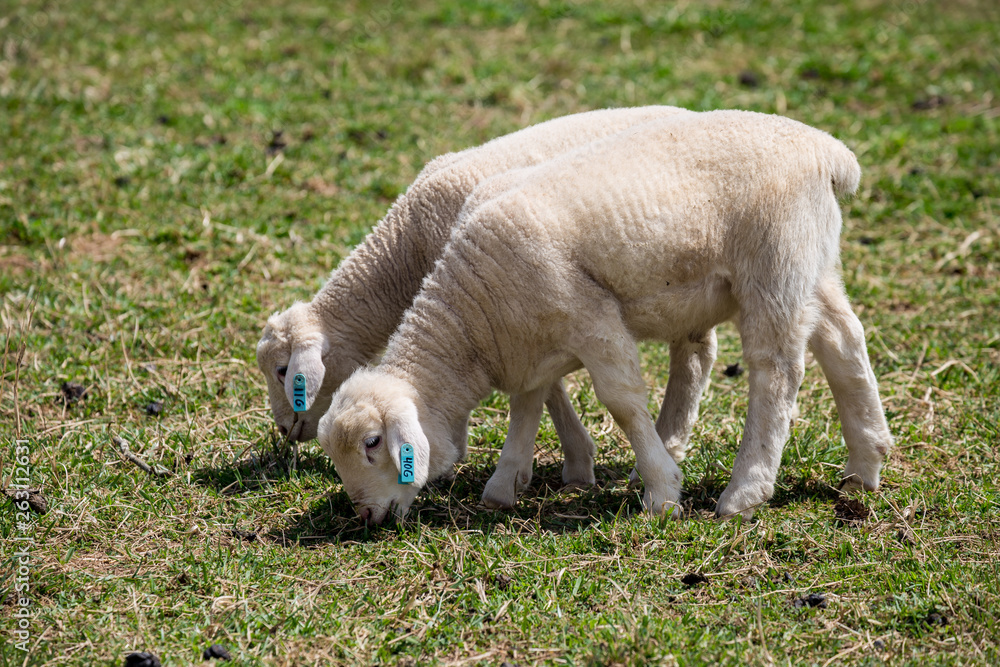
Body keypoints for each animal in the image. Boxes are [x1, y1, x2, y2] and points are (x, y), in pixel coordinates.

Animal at [254, 105, 700, 490]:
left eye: (283, 371)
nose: (284, 430)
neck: (406, 248)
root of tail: (683, 111)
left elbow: (548, 385)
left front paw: (571, 462)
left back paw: (667, 447)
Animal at [318, 109, 892, 524]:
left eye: (373, 444)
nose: (365, 516)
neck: (471, 317)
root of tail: (829, 151)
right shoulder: (528, 338)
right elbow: (526, 407)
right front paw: (504, 486)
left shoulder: (590, 318)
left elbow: (622, 402)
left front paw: (662, 491)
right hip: (812, 263)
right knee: (843, 339)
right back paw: (865, 464)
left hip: (773, 264)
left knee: (776, 371)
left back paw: (744, 492)